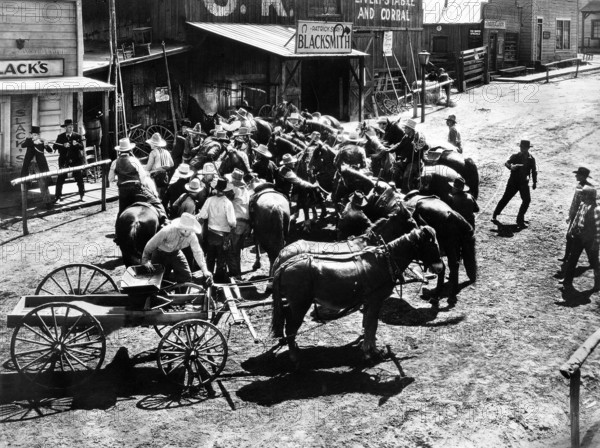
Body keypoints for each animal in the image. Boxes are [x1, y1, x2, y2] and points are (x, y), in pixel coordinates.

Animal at [272, 226, 446, 366]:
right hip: (300, 304)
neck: (384, 261)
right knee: (290, 328)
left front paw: (370, 346)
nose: (440, 268)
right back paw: (295, 357)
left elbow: (369, 325)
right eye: (432, 245)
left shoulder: (369, 302)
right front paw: (370, 352)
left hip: (294, 303)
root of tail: (284, 265)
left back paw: (293, 348)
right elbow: (372, 324)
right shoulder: (376, 300)